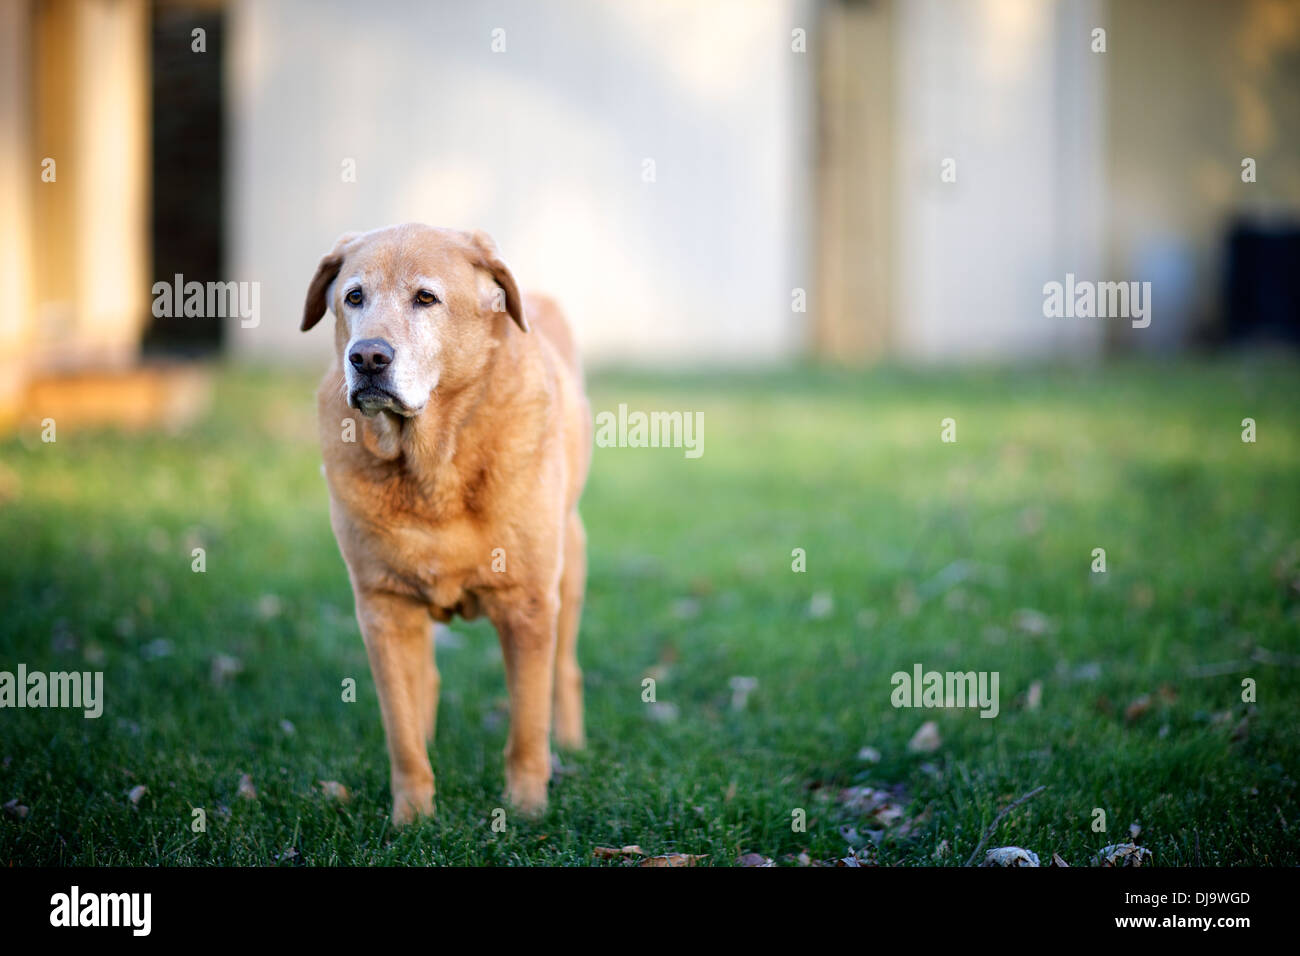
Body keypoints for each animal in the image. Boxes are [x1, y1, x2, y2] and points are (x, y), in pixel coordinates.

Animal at [299, 222, 590, 822]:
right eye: (353, 297)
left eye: (426, 298)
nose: (367, 357)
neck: (431, 467)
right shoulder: (382, 608)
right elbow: (401, 728)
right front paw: (412, 816)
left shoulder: (528, 604)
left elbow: (527, 724)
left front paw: (526, 809)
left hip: (570, 565)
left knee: (565, 669)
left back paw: (572, 743)